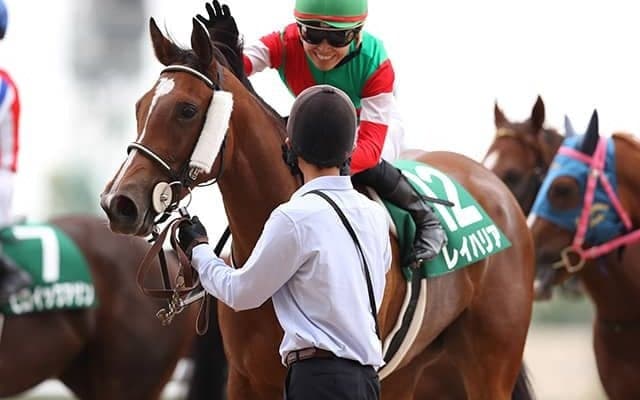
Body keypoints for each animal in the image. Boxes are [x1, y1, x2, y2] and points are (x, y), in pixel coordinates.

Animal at [100, 18, 535, 399]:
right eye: (140, 106)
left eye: (187, 110)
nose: (118, 203)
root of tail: (494, 186)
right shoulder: (245, 379)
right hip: (409, 371)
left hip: (490, 365)